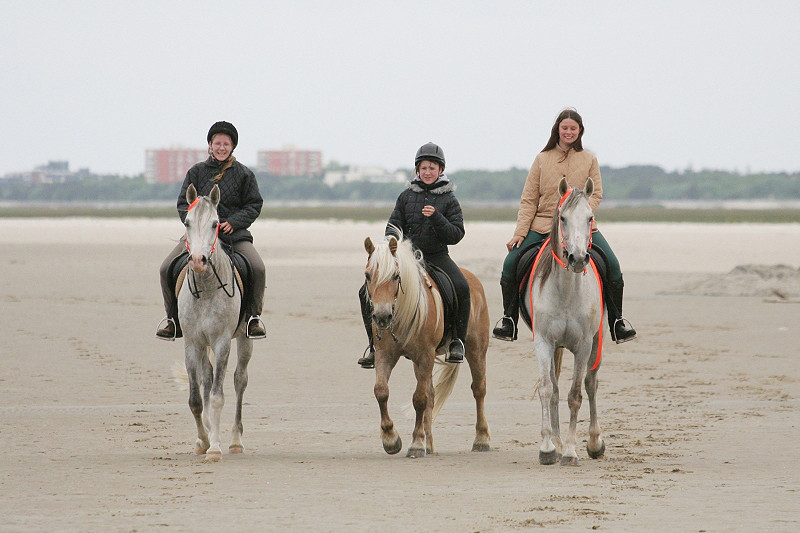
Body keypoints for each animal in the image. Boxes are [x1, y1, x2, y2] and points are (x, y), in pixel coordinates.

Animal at [179, 184, 252, 462]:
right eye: (187, 222)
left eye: (215, 224)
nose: (198, 261)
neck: (207, 286)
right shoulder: (193, 343)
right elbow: (196, 398)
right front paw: (203, 440)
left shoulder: (222, 342)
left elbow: (218, 396)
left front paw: (215, 448)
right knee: (206, 380)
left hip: (244, 340)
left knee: (240, 380)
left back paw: (235, 441)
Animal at [360, 233, 488, 458]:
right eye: (368, 275)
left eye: (396, 276)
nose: (382, 317)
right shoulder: (385, 354)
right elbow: (381, 391)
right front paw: (391, 439)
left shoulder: (425, 355)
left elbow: (419, 399)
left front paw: (417, 444)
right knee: (432, 394)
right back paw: (430, 444)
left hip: (476, 349)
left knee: (478, 389)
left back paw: (481, 440)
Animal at [520, 179, 608, 466]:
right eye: (563, 218)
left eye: (590, 217)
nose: (578, 259)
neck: (567, 290)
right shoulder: (544, 342)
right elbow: (548, 389)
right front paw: (549, 447)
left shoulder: (583, 346)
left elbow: (576, 394)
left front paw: (570, 451)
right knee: (556, 385)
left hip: (596, 342)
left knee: (591, 384)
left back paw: (594, 442)